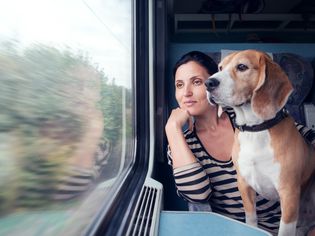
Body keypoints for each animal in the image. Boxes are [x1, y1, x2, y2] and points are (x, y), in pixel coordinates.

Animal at [205, 48, 315, 235]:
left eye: (242, 67)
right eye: (220, 67)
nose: (208, 83)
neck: (255, 129)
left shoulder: (289, 194)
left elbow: (285, 230)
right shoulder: (244, 185)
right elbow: (250, 220)